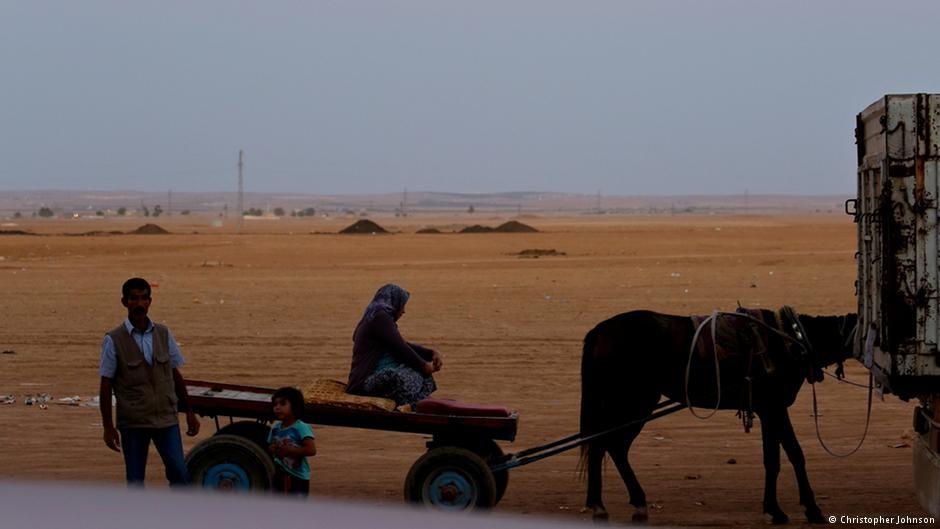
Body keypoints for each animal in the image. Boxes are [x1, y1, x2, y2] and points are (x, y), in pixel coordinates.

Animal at [576, 308, 856, 520]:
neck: (791, 340)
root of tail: (599, 331)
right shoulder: (775, 408)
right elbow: (795, 454)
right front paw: (811, 508)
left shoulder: (767, 410)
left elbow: (772, 459)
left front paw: (773, 509)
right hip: (632, 402)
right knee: (608, 445)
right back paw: (612, 504)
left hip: (627, 405)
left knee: (607, 446)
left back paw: (615, 503)